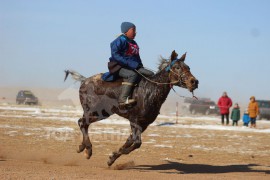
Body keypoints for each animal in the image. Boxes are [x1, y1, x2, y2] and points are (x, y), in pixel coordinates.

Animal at [63, 50, 198, 167]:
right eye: (177, 67)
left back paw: (82, 148)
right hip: (93, 111)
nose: (194, 82)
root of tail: (84, 80)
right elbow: (137, 142)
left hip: (101, 114)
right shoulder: (135, 120)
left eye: (188, 67)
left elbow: (130, 140)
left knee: (83, 123)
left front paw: (112, 157)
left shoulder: (144, 124)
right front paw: (115, 155)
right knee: (82, 122)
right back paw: (88, 150)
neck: (150, 91)